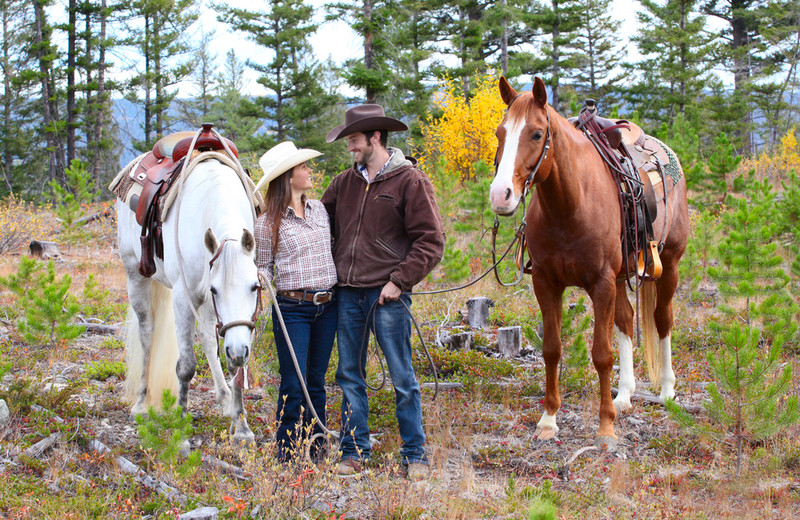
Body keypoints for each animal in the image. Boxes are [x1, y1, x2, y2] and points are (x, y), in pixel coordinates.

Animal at [117, 154, 260, 442]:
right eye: (216, 290)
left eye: (255, 286)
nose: (238, 350)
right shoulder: (185, 298)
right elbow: (185, 366)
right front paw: (181, 426)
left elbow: (235, 367)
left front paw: (241, 426)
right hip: (136, 277)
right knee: (147, 335)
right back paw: (141, 404)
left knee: (207, 340)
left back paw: (224, 398)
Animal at [490, 75, 692, 448]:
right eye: (500, 133)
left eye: (536, 134)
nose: (501, 196)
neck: (570, 205)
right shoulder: (546, 283)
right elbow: (552, 349)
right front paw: (548, 420)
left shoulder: (600, 283)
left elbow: (601, 354)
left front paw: (606, 428)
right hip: (621, 278)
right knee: (626, 320)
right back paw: (624, 395)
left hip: (668, 265)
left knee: (662, 320)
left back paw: (667, 390)